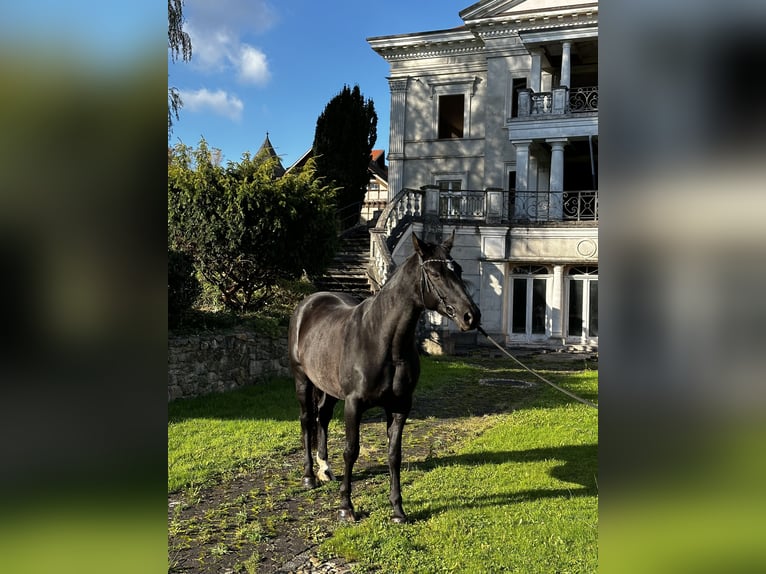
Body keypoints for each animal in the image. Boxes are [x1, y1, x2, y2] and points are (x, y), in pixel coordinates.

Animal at [292, 232, 484, 524]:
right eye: (435, 273)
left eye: (459, 270)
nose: (471, 316)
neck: (383, 340)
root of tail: (308, 303)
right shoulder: (354, 404)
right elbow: (351, 450)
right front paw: (346, 507)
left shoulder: (400, 406)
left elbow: (394, 454)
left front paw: (398, 510)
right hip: (303, 380)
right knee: (306, 421)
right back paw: (309, 477)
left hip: (328, 387)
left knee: (322, 417)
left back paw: (325, 469)